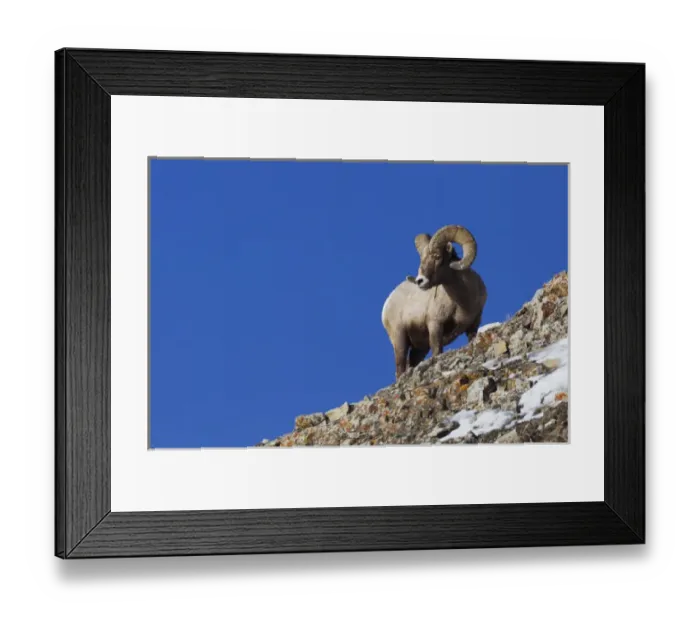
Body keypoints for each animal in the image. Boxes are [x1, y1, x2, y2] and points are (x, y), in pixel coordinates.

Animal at [381, 225, 487, 379]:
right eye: (422, 259)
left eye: (437, 256)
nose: (420, 281)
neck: (462, 303)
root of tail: (387, 304)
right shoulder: (435, 325)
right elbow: (437, 351)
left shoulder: (473, 326)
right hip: (400, 339)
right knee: (400, 367)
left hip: (419, 349)